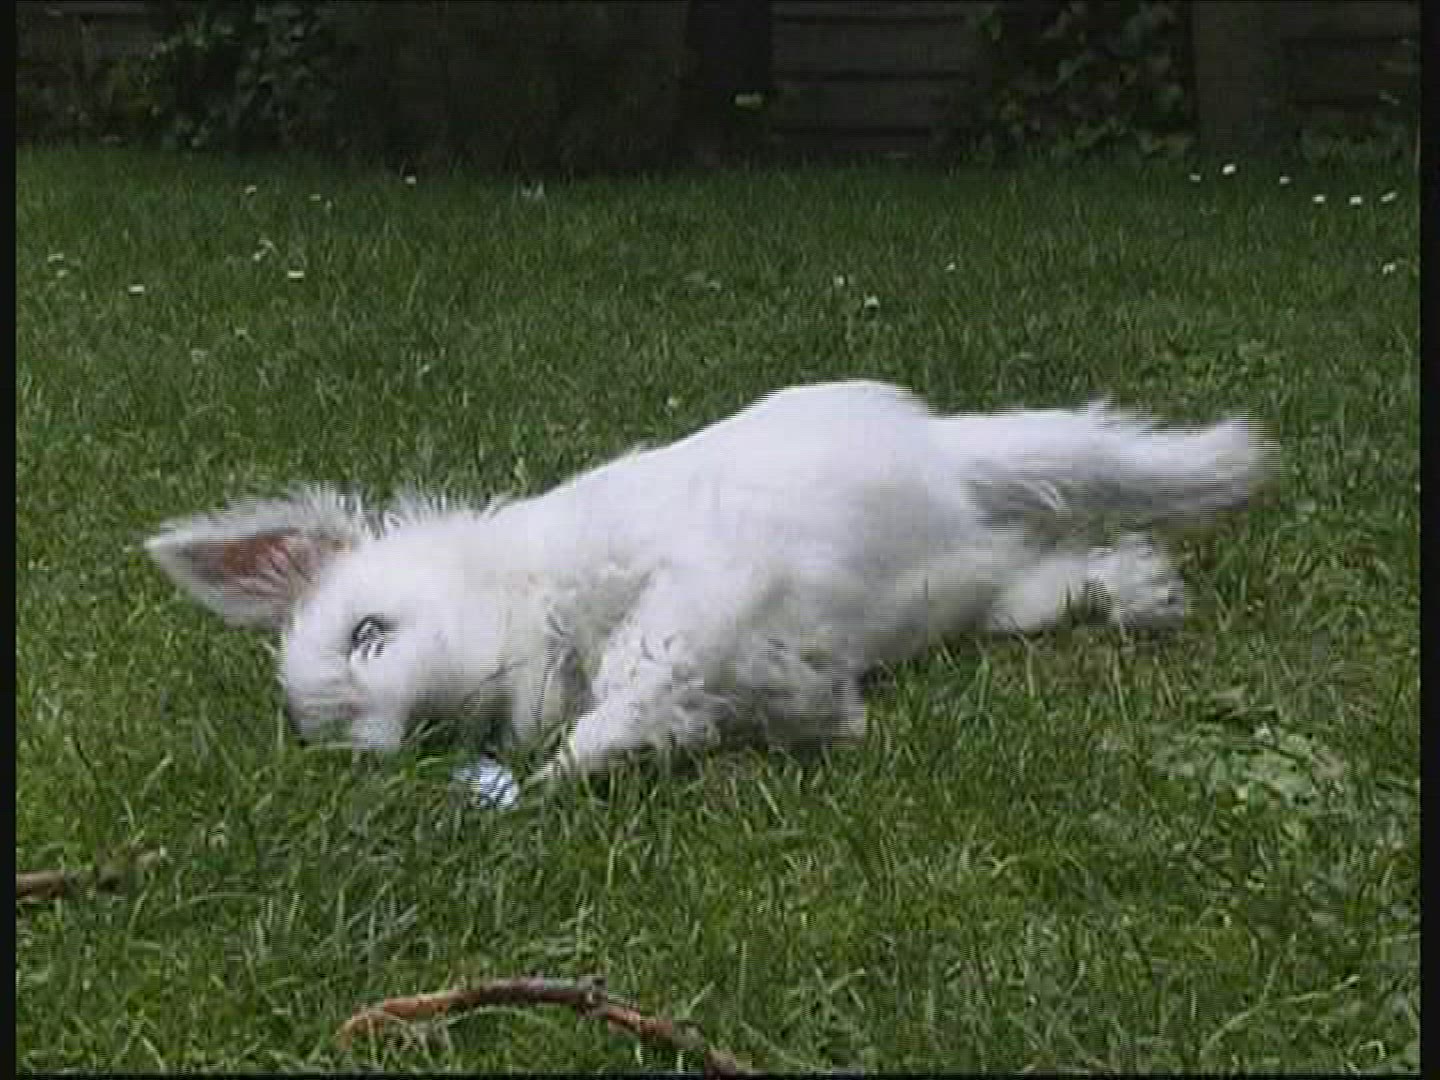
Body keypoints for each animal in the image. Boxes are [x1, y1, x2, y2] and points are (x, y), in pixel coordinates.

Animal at [146, 380, 1271, 792]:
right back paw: (1138, 588)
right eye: (343, 739)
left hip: (990, 476)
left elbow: (648, 665)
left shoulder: (703, 571)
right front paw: (819, 713)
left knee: (1091, 461)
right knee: (1049, 569)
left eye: (370, 632)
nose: (414, 743)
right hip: (987, 590)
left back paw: (1216, 480)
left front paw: (573, 762)